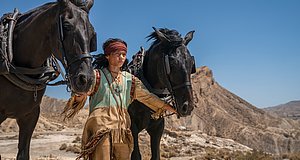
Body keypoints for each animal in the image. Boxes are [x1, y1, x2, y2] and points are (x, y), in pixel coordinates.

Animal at [127, 27, 196, 160]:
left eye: (191, 64)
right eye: (172, 64)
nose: (188, 106)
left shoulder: (158, 128)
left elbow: (156, 156)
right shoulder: (132, 126)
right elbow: (136, 155)